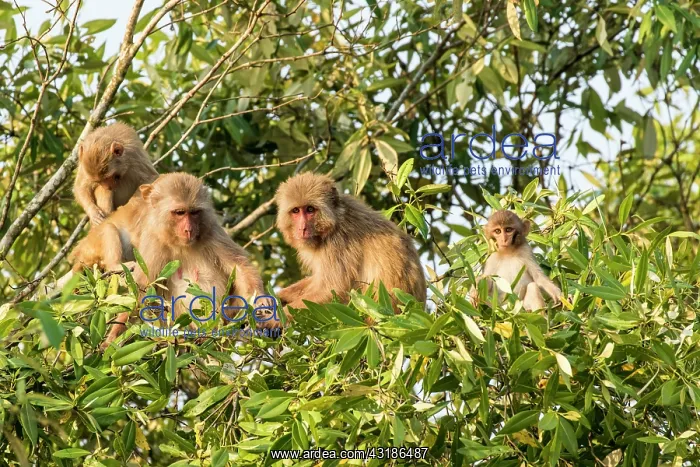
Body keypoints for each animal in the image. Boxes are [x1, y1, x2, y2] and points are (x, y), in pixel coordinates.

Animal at [70, 173, 270, 347]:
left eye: (194, 212)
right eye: (180, 212)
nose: (189, 230)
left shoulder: (212, 231)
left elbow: (239, 266)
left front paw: (261, 302)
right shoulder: (154, 242)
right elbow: (143, 288)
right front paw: (114, 336)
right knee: (109, 230)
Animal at [274, 172, 426, 322]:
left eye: (310, 209)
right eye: (296, 211)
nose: (302, 228)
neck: (334, 221)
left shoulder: (338, 244)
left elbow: (333, 289)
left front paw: (275, 319)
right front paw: (279, 296)